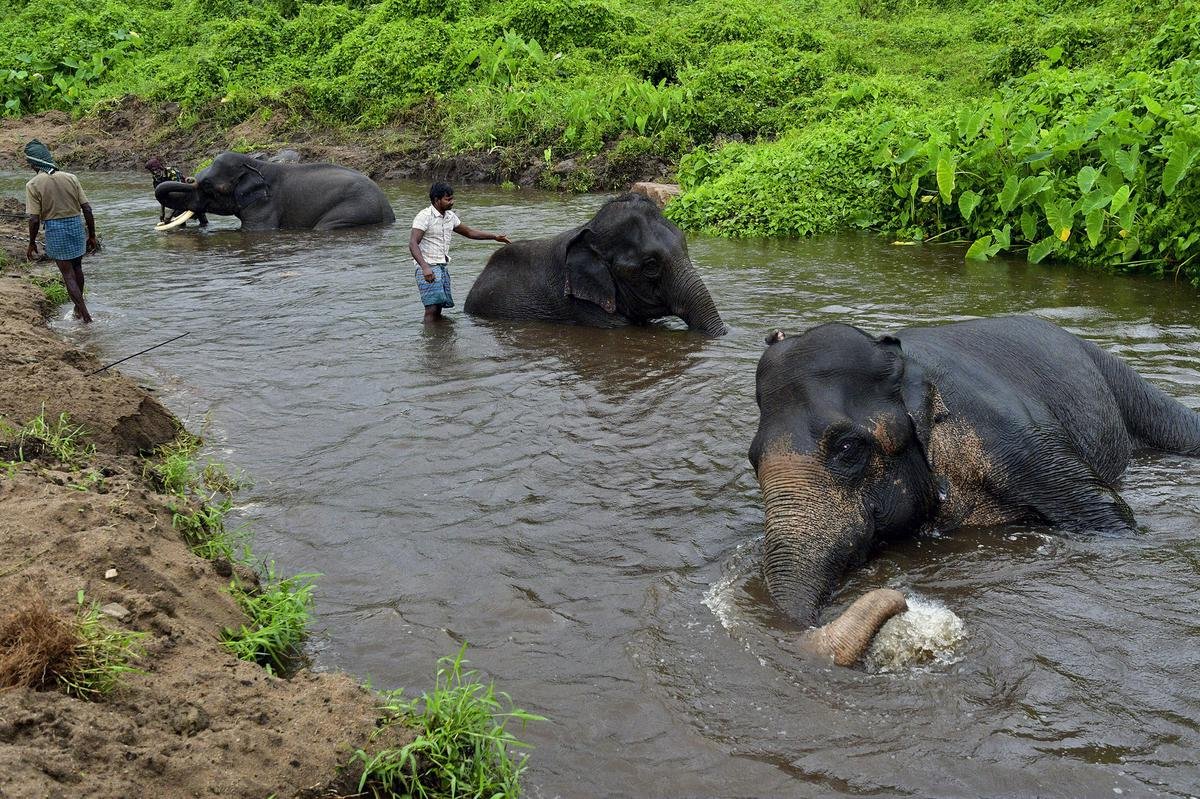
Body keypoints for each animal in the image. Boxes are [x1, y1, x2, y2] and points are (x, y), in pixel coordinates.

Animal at [748, 314, 1200, 662]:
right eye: (753, 460)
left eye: (846, 448)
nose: (902, 599)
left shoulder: (1016, 440)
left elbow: (1111, 515)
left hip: (1121, 380)